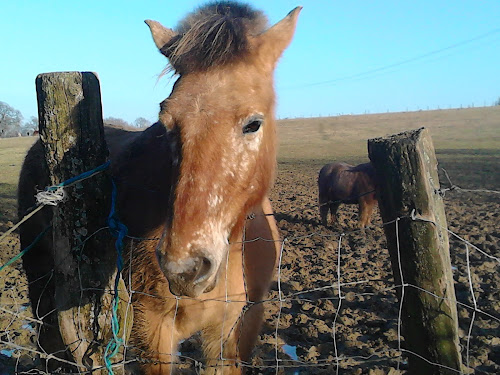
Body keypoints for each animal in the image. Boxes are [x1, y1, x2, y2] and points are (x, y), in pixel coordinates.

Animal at [17, 2, 300, 375]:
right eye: (167, 123)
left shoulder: (233, 331)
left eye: (253, 124)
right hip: (42, 289)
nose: (185, 268)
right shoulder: (152, 330)